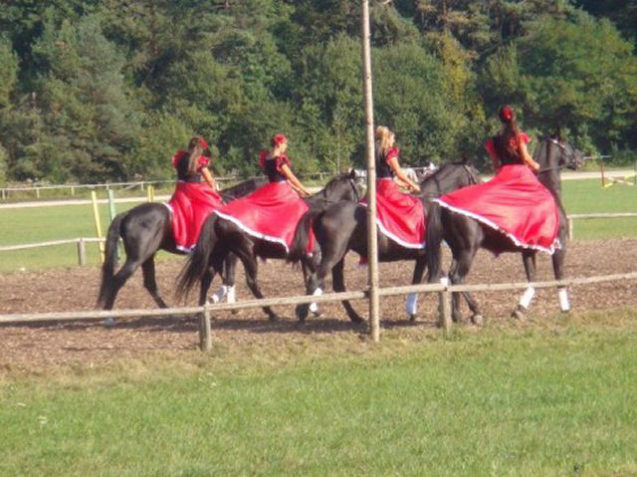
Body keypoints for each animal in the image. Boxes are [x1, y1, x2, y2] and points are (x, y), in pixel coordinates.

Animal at [97, 178, 260, 312]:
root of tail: (127, 214)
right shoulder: (230, 254)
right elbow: (228, 279)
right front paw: (230, 305)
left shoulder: (219, 255)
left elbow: (222, 278)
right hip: (136, 258)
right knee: (117, 280)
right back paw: (109, 315)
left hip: (148, 256)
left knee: (149, 284)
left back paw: (167, 310)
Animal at [424, 134, 584, 324]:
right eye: (568, 144)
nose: (581, 158)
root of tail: (444, 201)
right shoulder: (559, 247)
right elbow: (559, 277)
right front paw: (565, 309)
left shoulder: (528, 252)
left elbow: (533, 280)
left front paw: (520, 309)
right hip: (468, 250)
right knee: (457, 277)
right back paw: (476, 312)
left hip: (458, 250)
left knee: (451, 277)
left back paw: (457, 315)